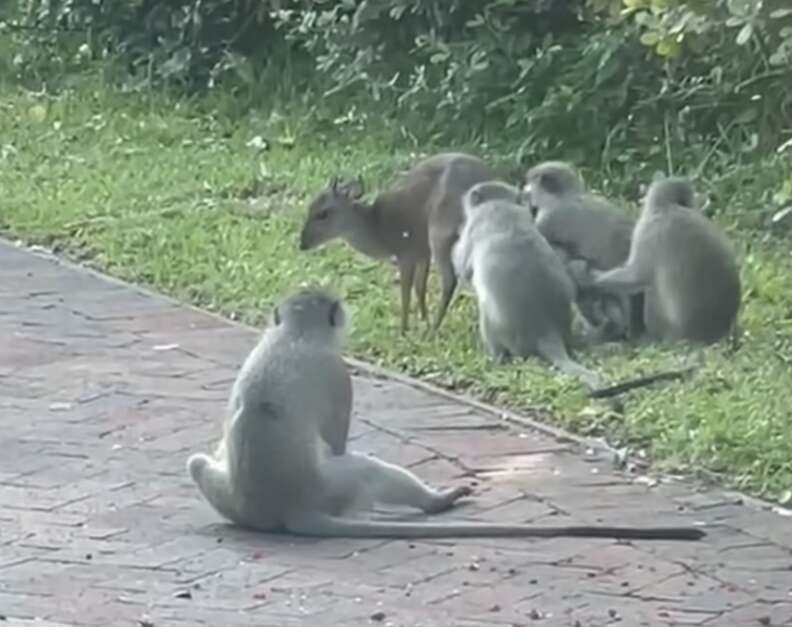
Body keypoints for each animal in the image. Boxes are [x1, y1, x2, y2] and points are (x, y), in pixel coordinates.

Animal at [187, 287, 705, 541]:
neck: (291, 334)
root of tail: (283, 510)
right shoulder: (337, 371)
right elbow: (336, 441)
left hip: (233, 497)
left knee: (196, 464)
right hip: (331, 487)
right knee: (363, 468)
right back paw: (437, 502)